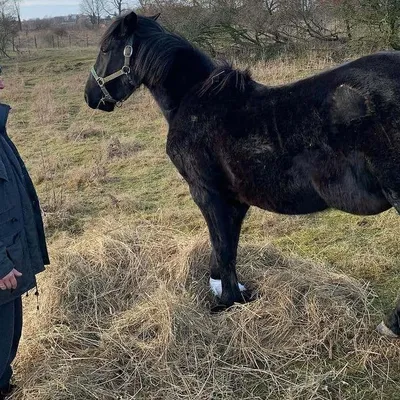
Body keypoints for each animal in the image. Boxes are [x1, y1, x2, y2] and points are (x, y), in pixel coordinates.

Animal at [85, 10, 400, 338]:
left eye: (105, 49)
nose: (90, 96)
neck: (193, 102)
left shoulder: (207, 194)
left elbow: (223, 248)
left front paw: (227, 302)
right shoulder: (234, 201)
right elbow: (225, 247)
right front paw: (228, 290)